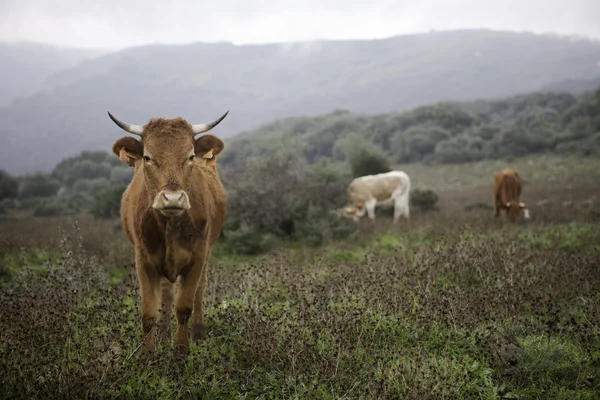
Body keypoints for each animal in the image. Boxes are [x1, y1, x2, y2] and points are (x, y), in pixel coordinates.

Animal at [106, 109, 229, 360]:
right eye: (147, 157)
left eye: (190, 156)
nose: (173, 198)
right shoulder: (143, 259)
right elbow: (149, 312)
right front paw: (147, 356)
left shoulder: (197, 257)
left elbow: (184, 307)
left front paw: (181, 353)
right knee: (166, 294)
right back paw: (163, 336)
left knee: (199, 290)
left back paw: (198, 333)